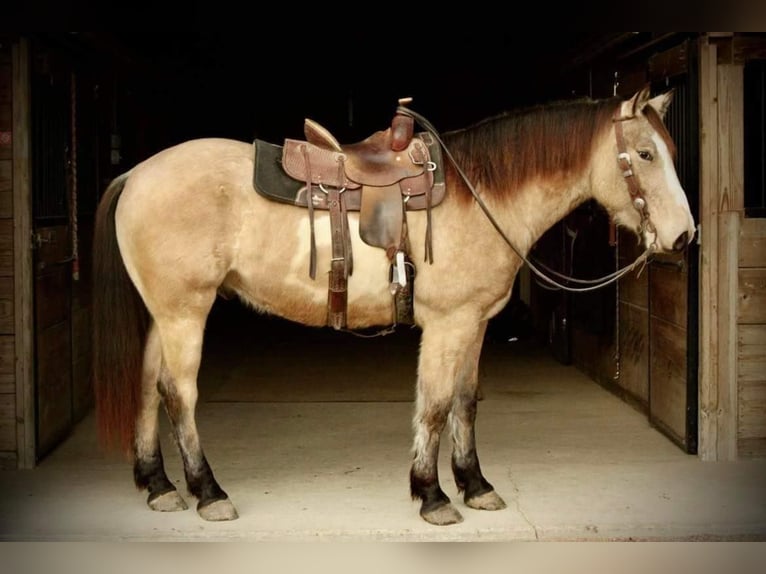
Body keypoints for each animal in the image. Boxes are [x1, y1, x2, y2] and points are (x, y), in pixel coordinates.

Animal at [93, 83, 700, 528]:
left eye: (668, 152)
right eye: (645, 154)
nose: (683, 236)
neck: (481, 192)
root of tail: (136, 173)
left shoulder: (475, 324)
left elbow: (465, 403)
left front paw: (476, 485)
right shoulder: (448, 325)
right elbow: (434, 405)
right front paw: (432, 495)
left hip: (164, 316)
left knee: (146, 386)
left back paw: (158, 485)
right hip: (185, 313)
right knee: (178, 394)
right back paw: (208, 491)